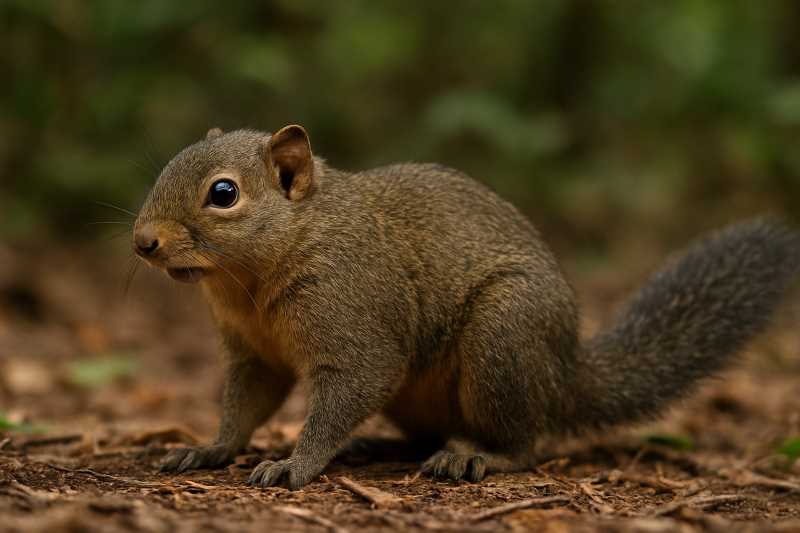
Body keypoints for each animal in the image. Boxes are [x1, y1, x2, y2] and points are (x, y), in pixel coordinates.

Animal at [133, 124, 800, 489]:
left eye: (224, 193)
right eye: (165, 166)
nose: (143, 242)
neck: (250, 282)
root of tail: (565, 372)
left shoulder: (356, 318)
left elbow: (350, 385)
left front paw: (295, 463)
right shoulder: (254, 355)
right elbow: (246, 404)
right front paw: (211, 448)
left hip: (503, 338)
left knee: (525, 442)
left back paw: (478, 455)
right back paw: (378, 446)